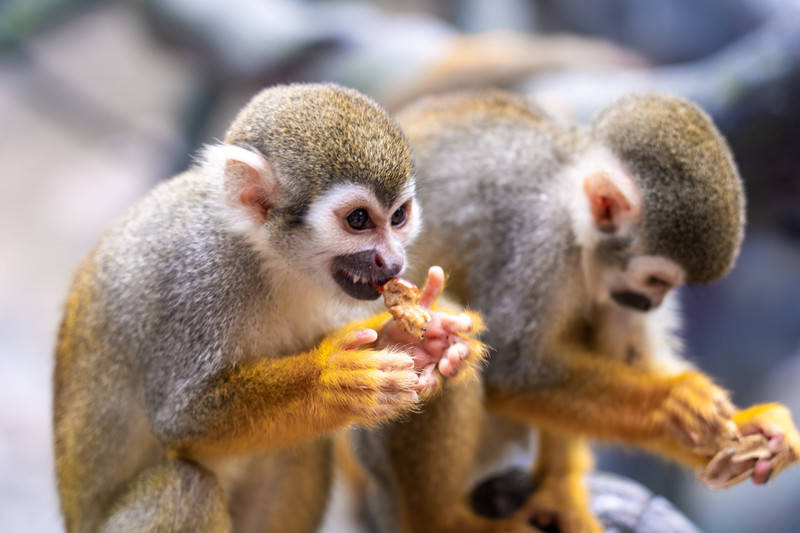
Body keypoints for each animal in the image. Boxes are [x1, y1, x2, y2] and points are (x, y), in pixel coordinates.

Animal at [56, 83, 484, 532]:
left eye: (399, 216)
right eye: (359, 219)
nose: (393, 262)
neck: (268, 258)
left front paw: (418, 339)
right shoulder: (197, 277)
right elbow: (182, 420)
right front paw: (328, 382)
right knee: (182, 489)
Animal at [354, 91, 800, 532]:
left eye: (666, 289)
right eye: (656, 280)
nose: (651, 303)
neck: (575, 224)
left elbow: (628, 356)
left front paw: (755, 429)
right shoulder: (540, 241)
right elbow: (517, 372)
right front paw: (672, 402)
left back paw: (559, 489)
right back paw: (443, 520)